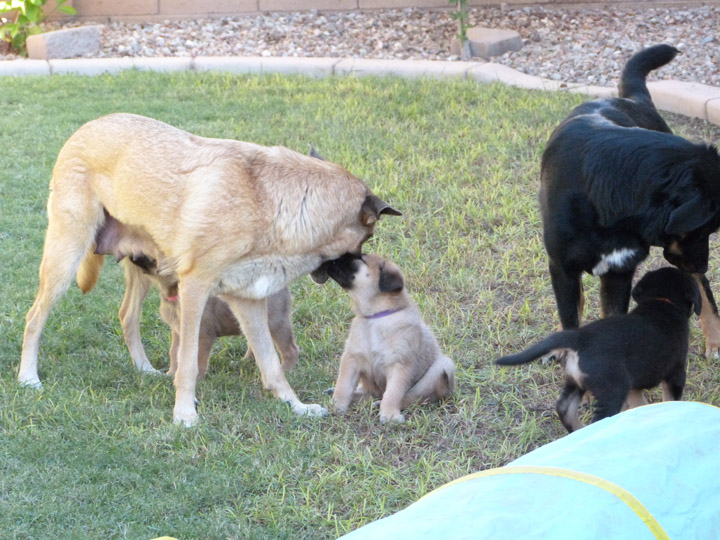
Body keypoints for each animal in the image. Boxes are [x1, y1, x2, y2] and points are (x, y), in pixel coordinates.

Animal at [18, 114, 400, 426]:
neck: (271, 203)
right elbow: (187, 363)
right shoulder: (195, 289)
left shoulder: (248, 301)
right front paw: (184, 414)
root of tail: (85, 128)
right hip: (65, 257)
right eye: (365, 240)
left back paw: (144, 369)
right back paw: (28, 377)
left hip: (140, 267)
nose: (358, 266)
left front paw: (296, 406)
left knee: (127, 316)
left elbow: (271, 364)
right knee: (34, 317)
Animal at [324, 253, 456, 422]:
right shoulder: (352, 358)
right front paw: (337, 405)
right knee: (368, 394)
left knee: (411, 397)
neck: (376, 317)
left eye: (359, 259)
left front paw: (390, 415)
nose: (330, 260)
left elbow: (393, 394)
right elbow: (343, 385)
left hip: (442, 367)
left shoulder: (400, 365)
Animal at [498, 268, 700, 432]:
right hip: (612, 389)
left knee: (564, 408)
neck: (662, 301)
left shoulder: (635, 384)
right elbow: (671, 399)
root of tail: (580, 338)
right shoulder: (676, 372)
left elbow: (639, 403)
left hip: (576, 380)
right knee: (598, 419)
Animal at [540, 42, 720, 354]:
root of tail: (634, 99)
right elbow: (571, 316)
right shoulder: (562, 269)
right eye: (707, 228)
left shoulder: (619, 273)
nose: (704, 265)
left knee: (703, 287)